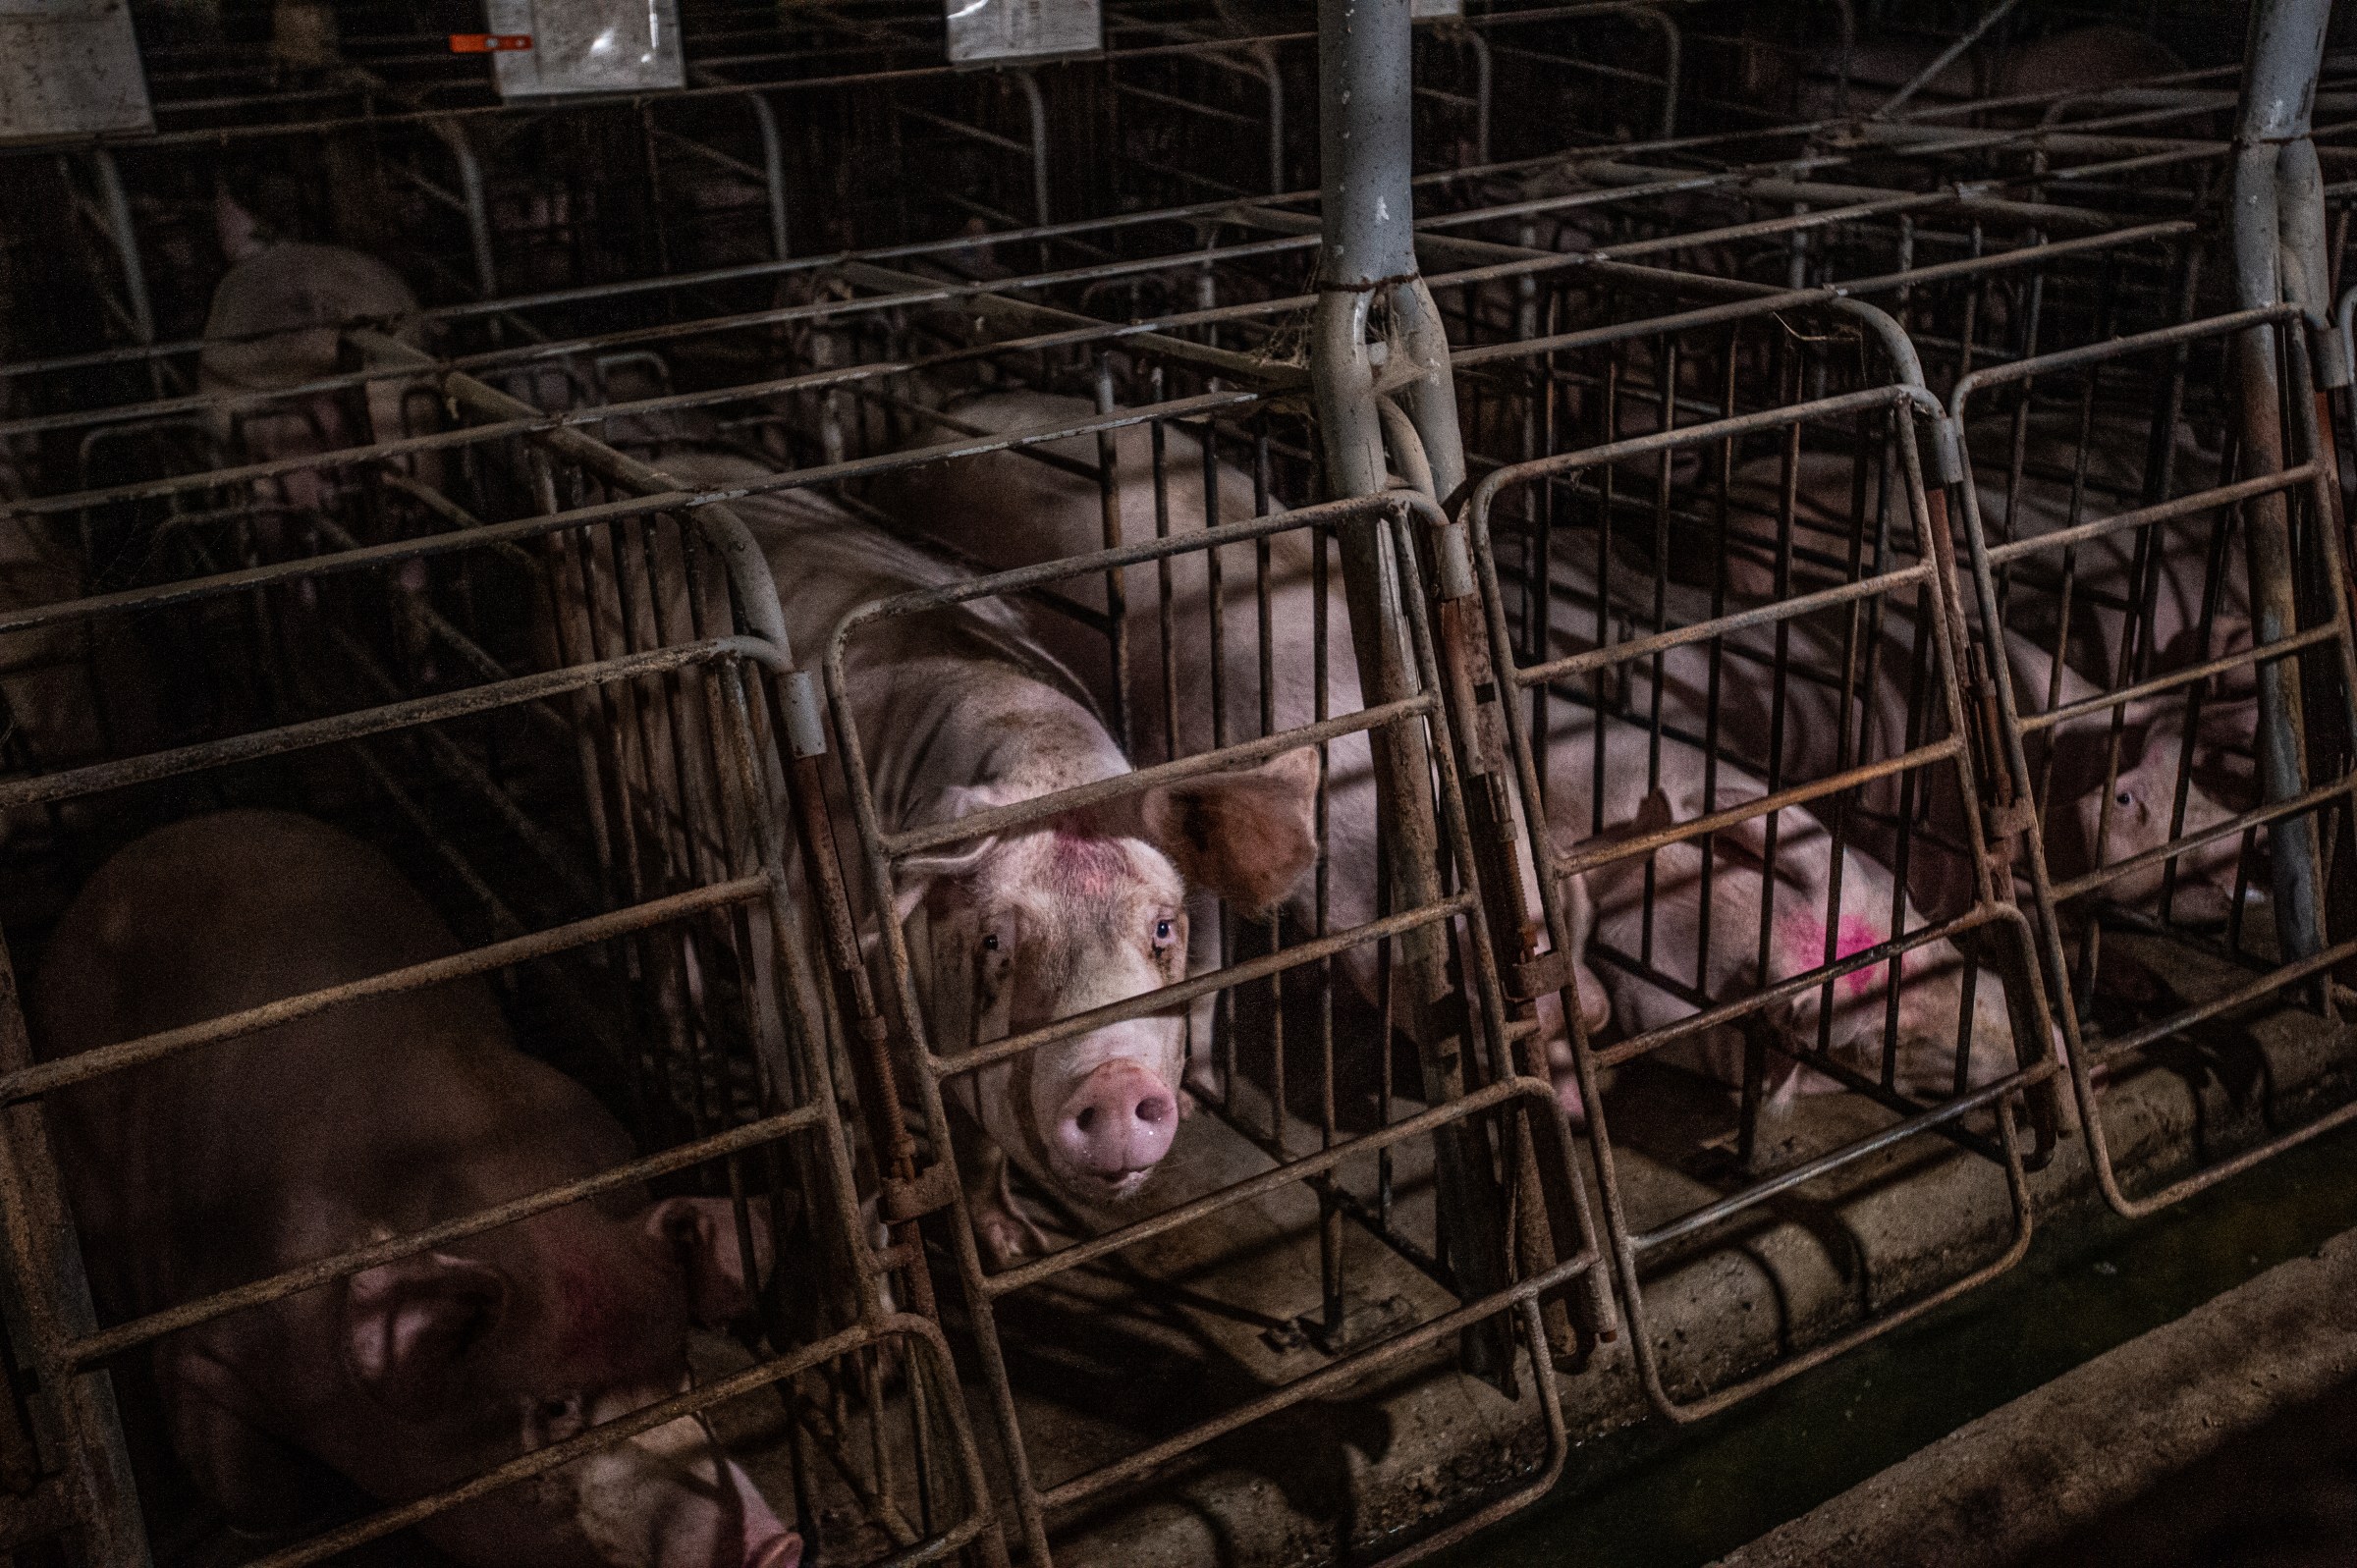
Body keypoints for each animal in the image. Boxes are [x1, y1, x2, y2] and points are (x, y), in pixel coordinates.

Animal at [34, 811, 801, 1565]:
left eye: (680, 1364)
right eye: (556, 1407)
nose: (776, 1544)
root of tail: (162, 837)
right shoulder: (206, 1348)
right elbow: (250, 1485)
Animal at [556, 445, 1329, 1254]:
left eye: (1163, 927)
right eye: (994, 940)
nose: (1115, 1084)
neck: (1038, 746)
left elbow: (979, 1144)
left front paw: (1020, 1243)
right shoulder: (784, 948)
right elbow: (838, 1128)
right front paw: (870, 1250)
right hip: (602, 752)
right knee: (652, 907)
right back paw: (688, 1048)